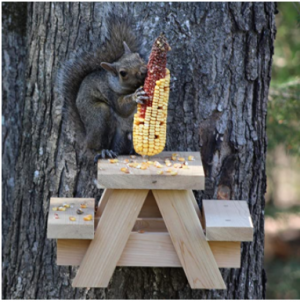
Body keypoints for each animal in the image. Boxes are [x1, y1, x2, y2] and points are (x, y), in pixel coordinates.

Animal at [57, 13, 148, 162]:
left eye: (138, 56)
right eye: (123, 73)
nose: (144, 71)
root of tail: (86, 139)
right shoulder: (111, 93)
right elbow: (122, 108)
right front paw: (136, 96)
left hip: (123, 135)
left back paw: (131, 151)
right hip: (99, 115)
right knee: (96, 145)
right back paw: (103, 151)